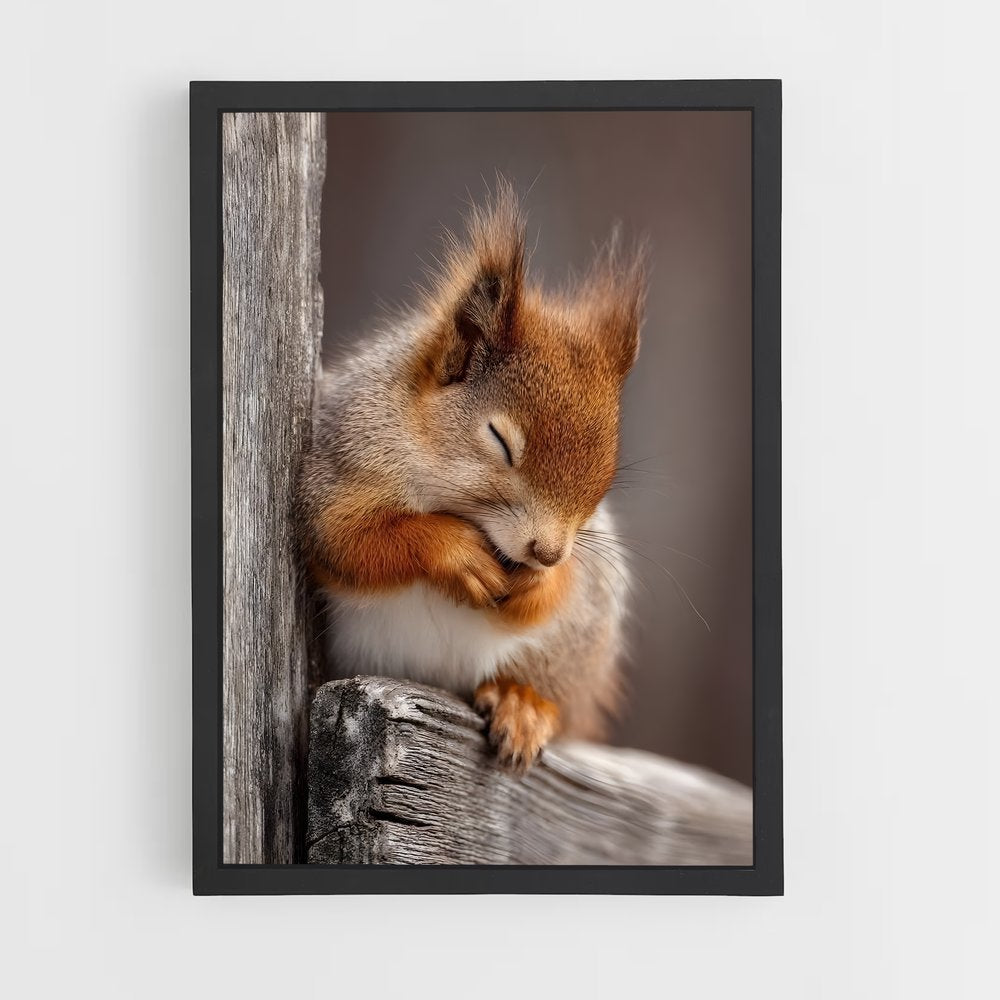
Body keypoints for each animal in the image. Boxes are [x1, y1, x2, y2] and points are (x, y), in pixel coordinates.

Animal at [296, 183, 647, 769]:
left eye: (607, 475)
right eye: (500, 440)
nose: (547, 552)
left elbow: (551, 595)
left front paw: (539, 582)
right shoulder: (338, 464)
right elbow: (350, 541)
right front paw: (456, 553)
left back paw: (521, 702)